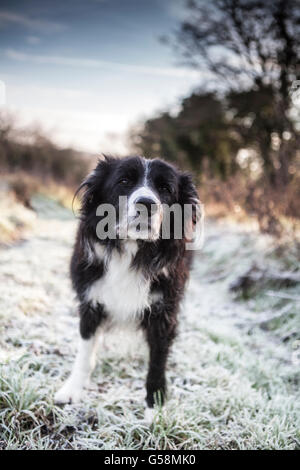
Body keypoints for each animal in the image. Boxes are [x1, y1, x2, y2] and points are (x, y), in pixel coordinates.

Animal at [55, 155, 203, 422]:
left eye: (165, 188)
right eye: (124, 181)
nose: (147, 204)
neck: (133, 250)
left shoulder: (163, 312)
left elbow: (157, 362)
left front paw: (155, 409)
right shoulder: (91, 301)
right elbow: (85, 352)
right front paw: (72, 390)